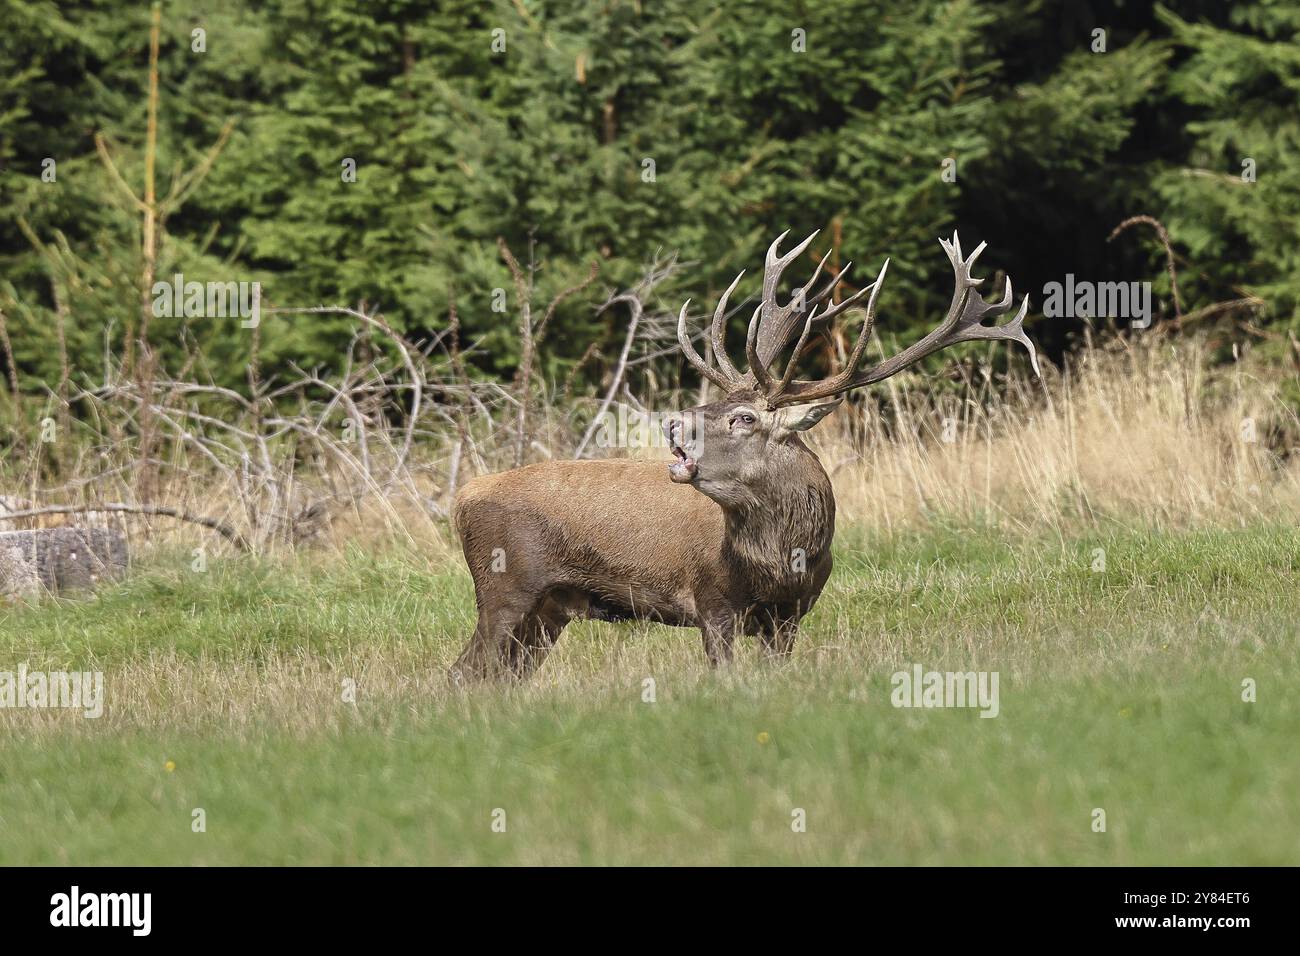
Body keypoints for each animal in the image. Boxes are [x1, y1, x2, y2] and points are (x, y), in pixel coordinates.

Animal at [449, 231, 1039, 682]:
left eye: (743, 416)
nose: (673, 423)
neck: (782, 563)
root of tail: (460, 498)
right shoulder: (712, 602)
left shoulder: (791, 616)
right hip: (504, 587)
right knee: (464, 672)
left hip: (550, 610)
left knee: (498, 676)